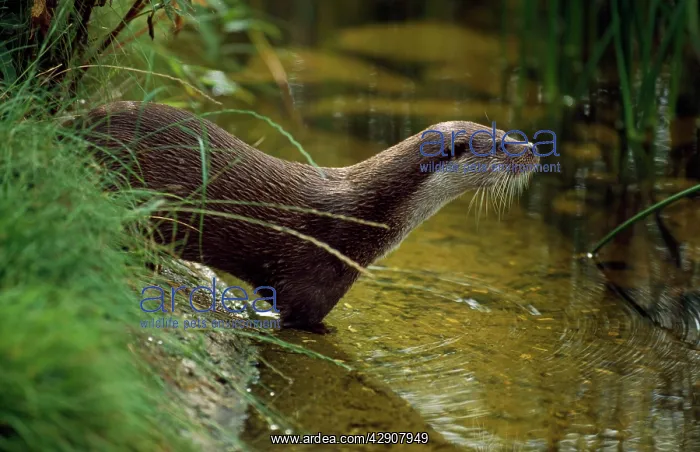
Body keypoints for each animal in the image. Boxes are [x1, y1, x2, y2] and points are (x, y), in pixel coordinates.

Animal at [77, 101, 539, 330]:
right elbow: (301, 316)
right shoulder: (315, 273)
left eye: (506, 133)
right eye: (502, 145)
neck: (368, 217)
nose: (534, 149)